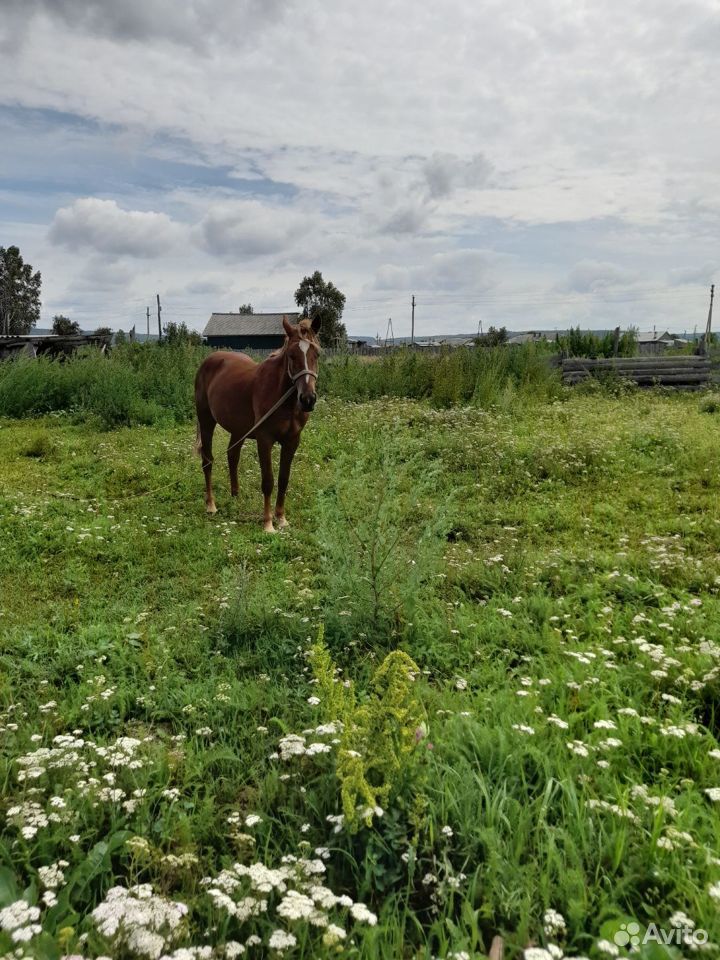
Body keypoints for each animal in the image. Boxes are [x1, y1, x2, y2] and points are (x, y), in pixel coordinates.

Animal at [195, 316, 322, 532]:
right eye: (291, 355)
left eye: (317, 354)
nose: (307, 399)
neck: (283, 399)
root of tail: (208, 361)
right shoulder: (265, 440)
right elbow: (268, 481)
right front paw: (268, 523)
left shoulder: (292, 441)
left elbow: (283, 479)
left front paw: (281, 518)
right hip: (206, 421)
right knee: (208, 460)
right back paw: (211, 505)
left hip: (238, 430)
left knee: (232, 456)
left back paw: (236, 496)